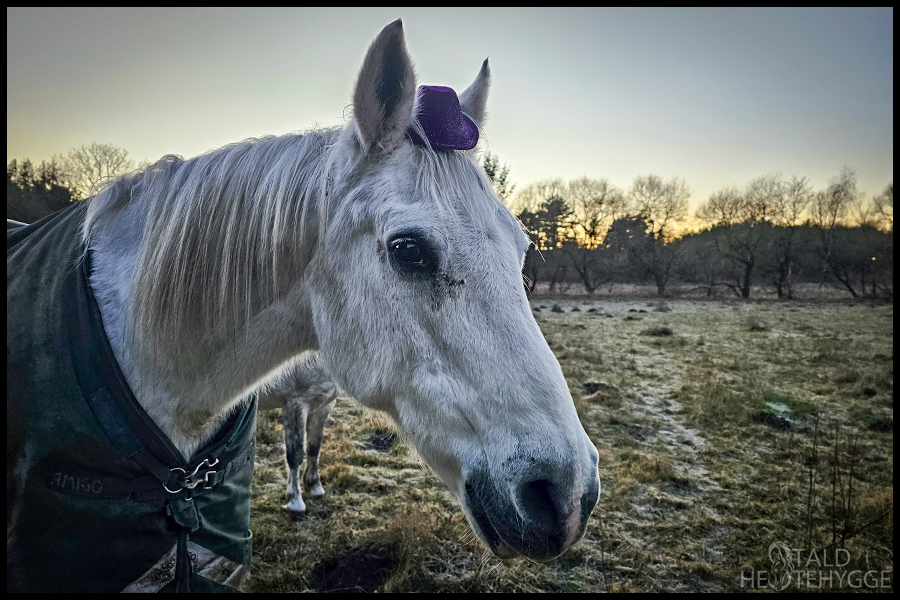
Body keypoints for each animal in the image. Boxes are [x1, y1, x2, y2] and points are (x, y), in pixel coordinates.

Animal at [256, 351, 337, 519]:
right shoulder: (295, 404)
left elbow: (314, 448)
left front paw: (314, 486)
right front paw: (296, 503)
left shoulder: (324, 406)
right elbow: (295, 455)